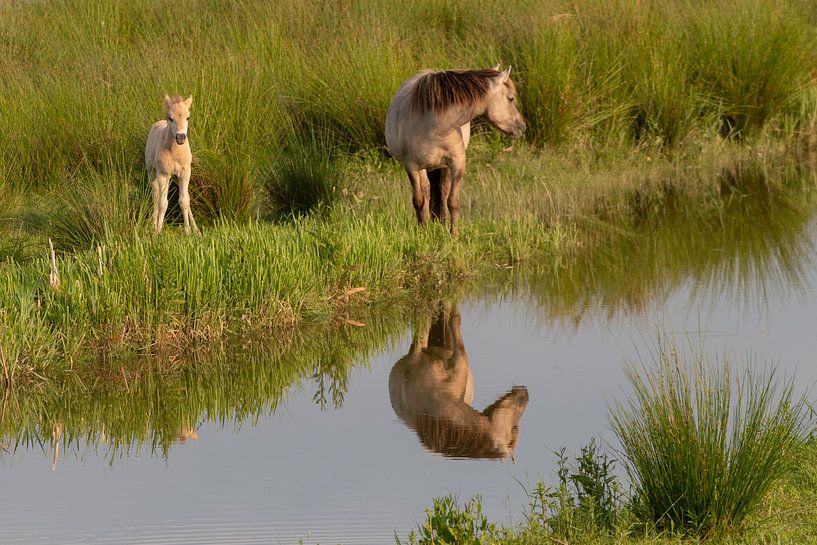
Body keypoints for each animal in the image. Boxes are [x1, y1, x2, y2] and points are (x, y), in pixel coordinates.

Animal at [145, 94, 199, 235]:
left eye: (187, 117)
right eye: (171, 118)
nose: (180, 137)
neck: (175, 152)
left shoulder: (185, 173)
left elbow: (184, 201)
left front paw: (188, 231)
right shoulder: (163, 174)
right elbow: (163, 203)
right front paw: (158, 231)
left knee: (186, 196)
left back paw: (196, 230)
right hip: (152, 172)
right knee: (155, 196)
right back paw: (153, 226)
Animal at [382, 65, 524, 235]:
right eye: (510, 98)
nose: (522, 127)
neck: (435, 126)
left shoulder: (457, 163)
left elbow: (452, 201)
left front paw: (453, 234)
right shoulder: (412, 166)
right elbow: (419, 200)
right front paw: (422, 231)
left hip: (443, 166)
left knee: (442, 192)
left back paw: (442, 222)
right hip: (424, 167)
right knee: (427, 191)